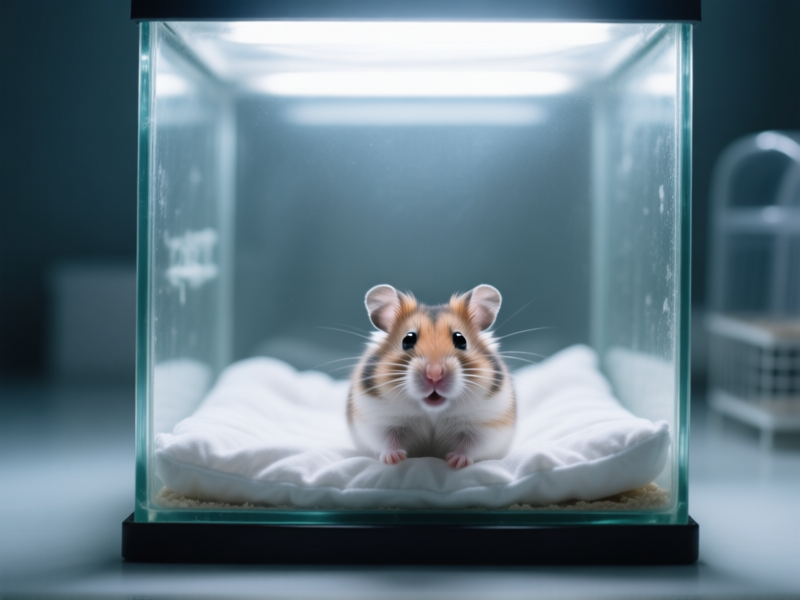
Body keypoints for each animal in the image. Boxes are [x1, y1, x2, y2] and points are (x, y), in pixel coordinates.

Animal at [347, 284, 515, 469]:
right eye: (407, 339)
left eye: (461, 340)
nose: (434, 375)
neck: (433, 412)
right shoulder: (378, 420)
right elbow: (388, 440)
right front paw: (394, 459)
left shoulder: (486, 425)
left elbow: (470, 445)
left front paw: (456, 462)